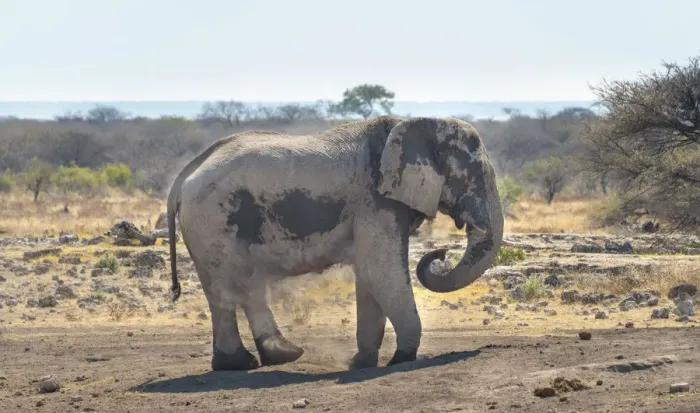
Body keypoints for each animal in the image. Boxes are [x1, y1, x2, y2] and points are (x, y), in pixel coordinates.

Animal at [166, 115, 504, 371]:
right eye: (474, 176)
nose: (441, 253)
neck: (409, 127)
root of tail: (184, 177)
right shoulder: (374, 201)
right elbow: (381, 272)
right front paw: (401, 360)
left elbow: (369, 277)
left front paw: (361, 364)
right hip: (212, 219)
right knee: (226, 287)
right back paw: (243, 363)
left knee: (241, 286)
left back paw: (274, 357)